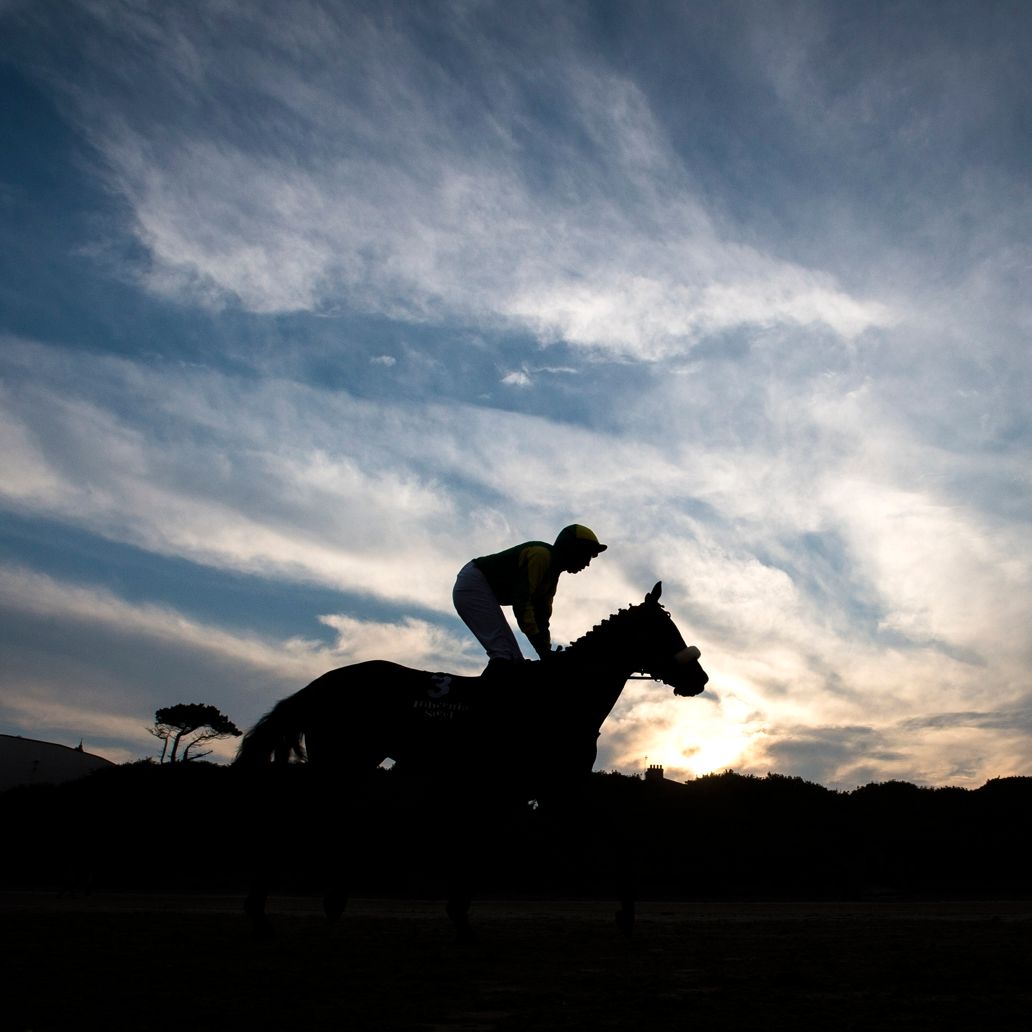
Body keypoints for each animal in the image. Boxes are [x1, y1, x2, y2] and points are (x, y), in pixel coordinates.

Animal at [234, 582, 708, 938]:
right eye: (664, 630)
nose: (699, 678)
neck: (559, 697)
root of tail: (319, 684)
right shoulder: (552, 786)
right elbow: (608, 837)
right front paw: (625, 913)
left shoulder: (533, 790)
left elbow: (489, 841)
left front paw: (460, 908)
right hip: (341, 761)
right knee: (300, 819)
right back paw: (266, 909)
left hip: (349, 764)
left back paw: (326, 901)